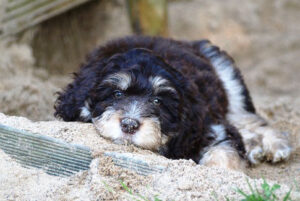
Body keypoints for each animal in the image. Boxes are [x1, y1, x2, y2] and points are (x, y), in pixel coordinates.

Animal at [54, 36, 290, 170]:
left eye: (158, 101)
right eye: (117, 94)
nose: (129, 125)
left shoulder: (209, 127)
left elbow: (223, 153)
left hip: (226, 76)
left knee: (247, 118)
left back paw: (275, 144)